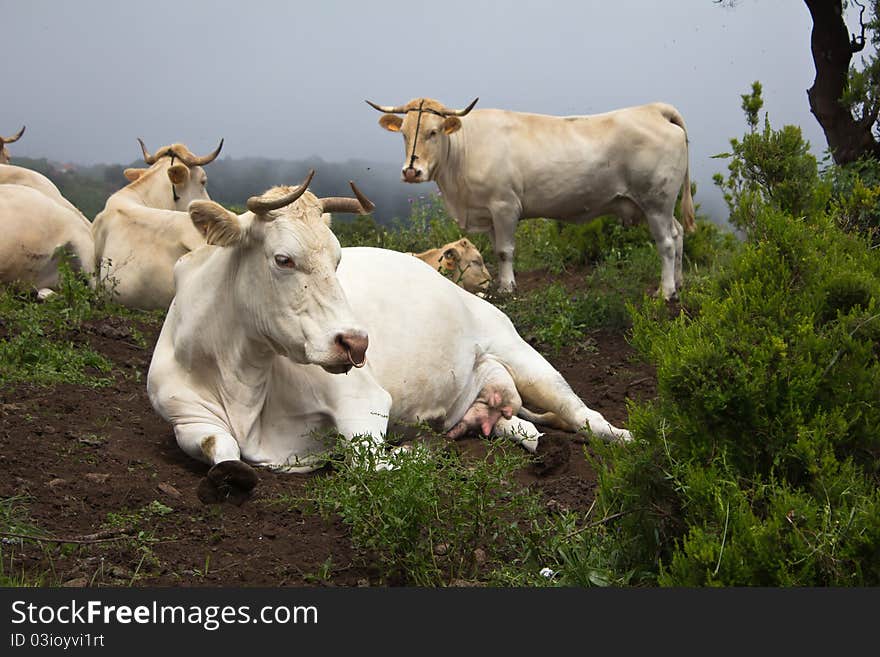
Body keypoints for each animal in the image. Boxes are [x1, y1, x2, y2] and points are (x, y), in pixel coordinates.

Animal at [144, 170, 628, 502]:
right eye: (283, 259)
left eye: (338, 260)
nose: (356, 343)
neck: (244, 378)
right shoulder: (186, 419)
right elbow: (222, 448)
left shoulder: (363, 399)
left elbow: (369, 463)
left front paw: (421, 451)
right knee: (522, 429)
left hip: (521, 354)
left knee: (582, 415)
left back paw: (623, 437)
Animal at [364, 96, 696, 298]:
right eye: (404, 134)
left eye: (433, 132)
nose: (411, 171)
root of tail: (654, 109)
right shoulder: (488, 213)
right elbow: (496, 248)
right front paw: (501, 283)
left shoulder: (505, 205)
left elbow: (504, 251)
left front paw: (508, 287)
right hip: (659, 205)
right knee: (679, 234)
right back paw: (679, 282)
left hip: (656, 201)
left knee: (666, 243)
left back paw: (666, 291)